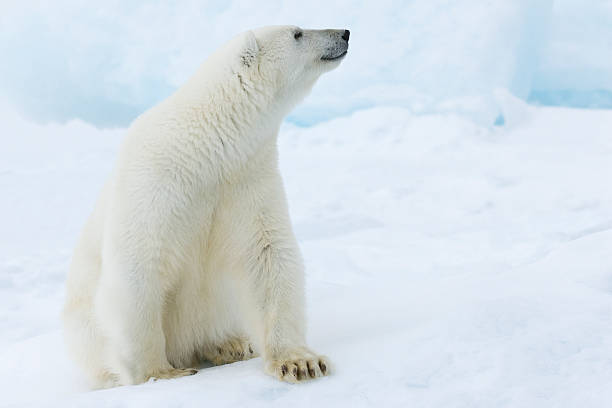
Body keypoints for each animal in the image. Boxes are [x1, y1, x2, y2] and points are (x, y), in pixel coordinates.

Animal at [63, 26, 350, 388]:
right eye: (297, 33)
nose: (345, 33)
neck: (206, 146)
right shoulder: (157, 180)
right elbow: (139, 264)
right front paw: (158, 372)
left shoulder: (245, 178)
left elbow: (268, 254)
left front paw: (300, 362)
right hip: (82, 327)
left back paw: (232, 344)